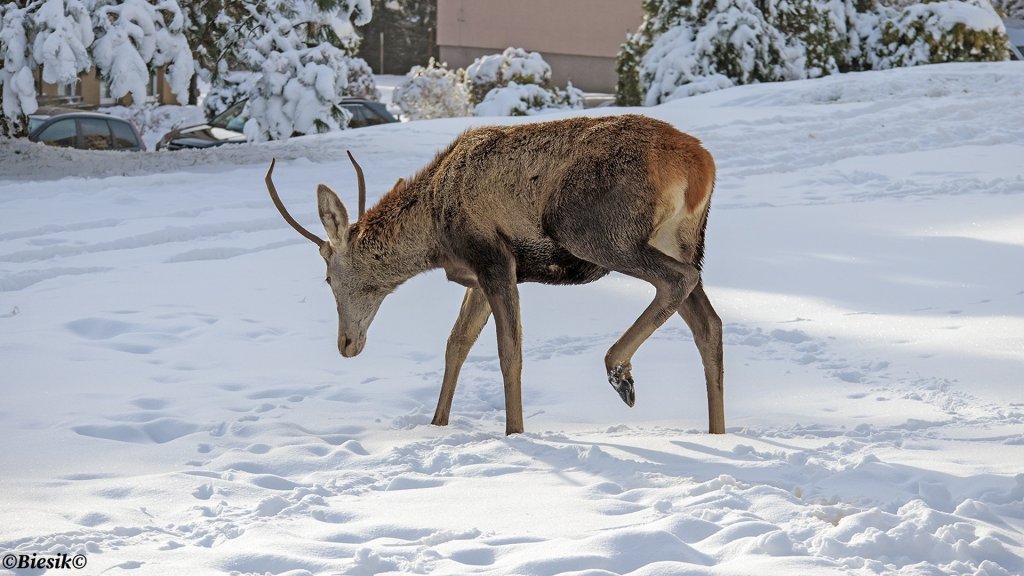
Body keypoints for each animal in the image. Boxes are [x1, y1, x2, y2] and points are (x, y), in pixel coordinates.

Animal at [266, 113, 729, 434]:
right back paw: (716, 432)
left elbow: (509, 352)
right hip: (681, 240)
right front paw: (437, 424)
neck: (435, 235)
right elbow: (456, 344)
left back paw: (620, 373)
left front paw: (515, 432)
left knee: (677, 280)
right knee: (709, 322)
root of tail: (700, 163)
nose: (346, 344)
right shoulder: (479, 275)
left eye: (328, 278)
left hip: (595, 230)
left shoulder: (494, 258)